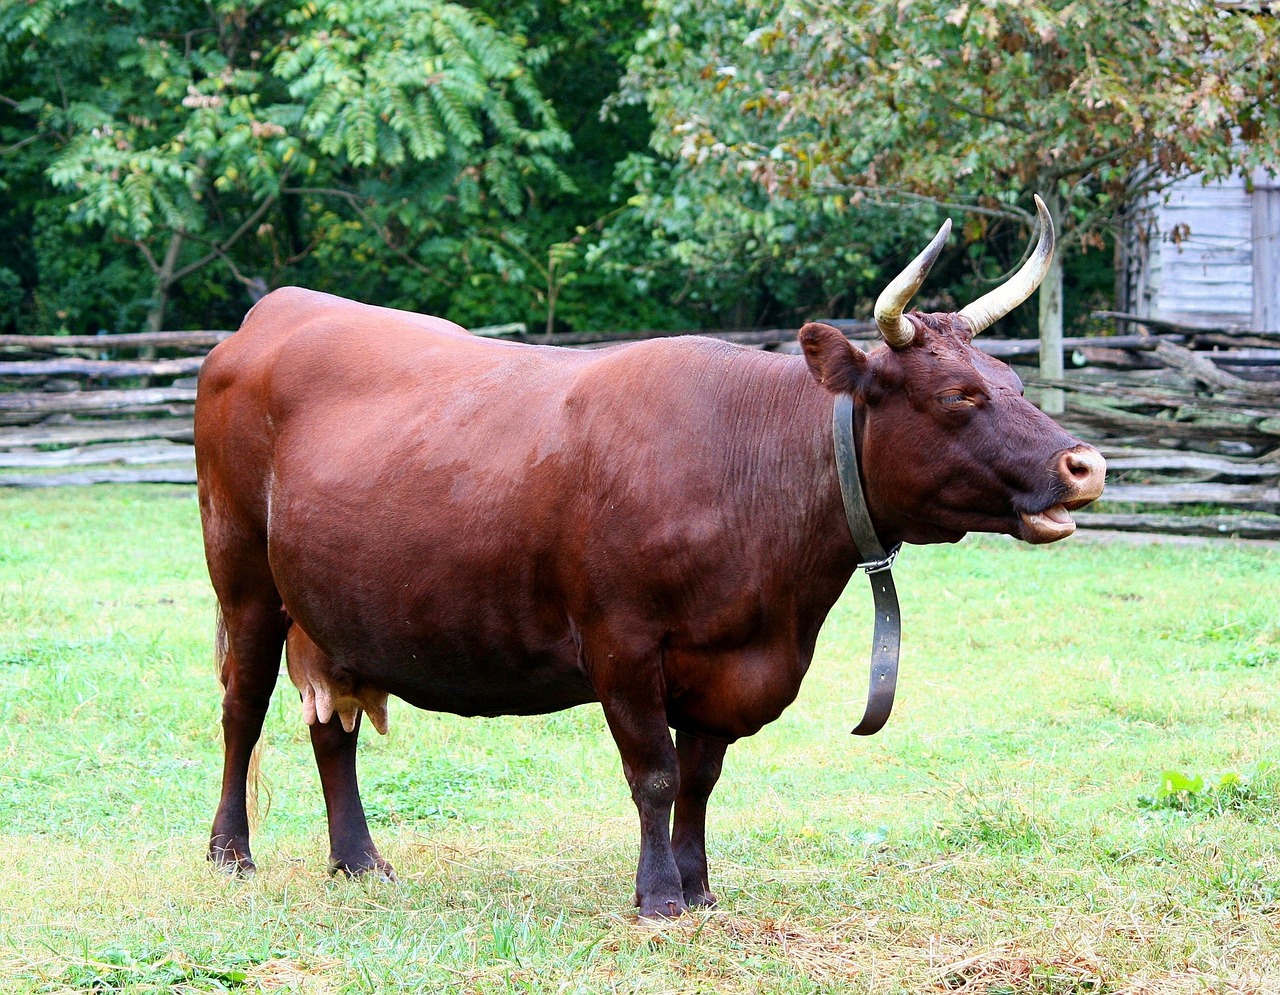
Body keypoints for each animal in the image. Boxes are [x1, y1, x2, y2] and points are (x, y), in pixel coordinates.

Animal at [197, 198, 1100, 922]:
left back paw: (358, 859)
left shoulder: (727, 664)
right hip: (244, 578)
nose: (1083, 464)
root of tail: (274, 312)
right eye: (957, 396)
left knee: (333, 726)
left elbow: (699, 778)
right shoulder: (621, 644)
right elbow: (655, 773)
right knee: (242, 708)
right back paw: (231, 852)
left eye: (1014, 381)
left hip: (332, 608)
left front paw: (699, 887)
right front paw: (660, 894)